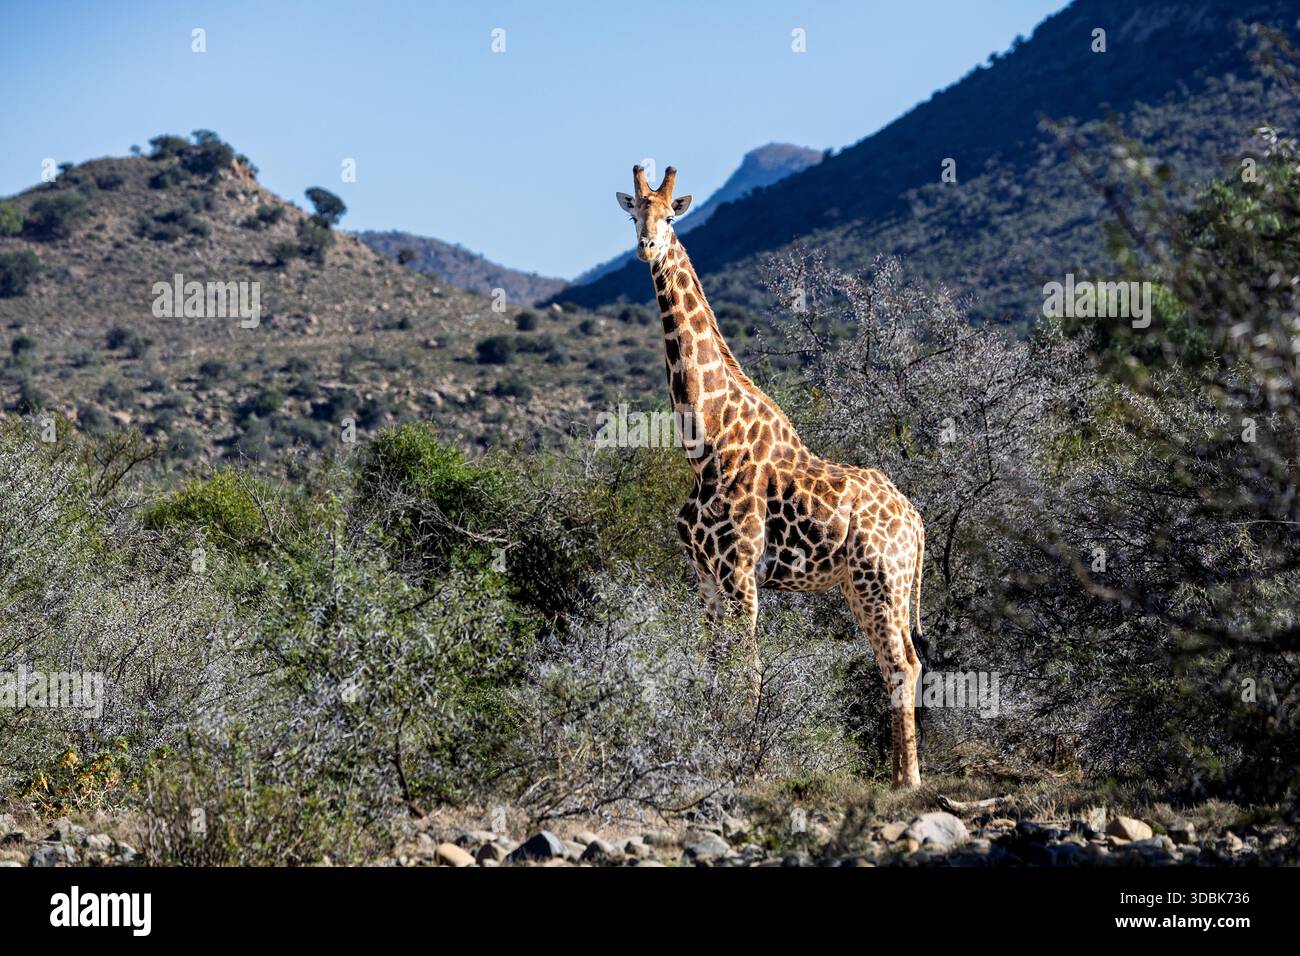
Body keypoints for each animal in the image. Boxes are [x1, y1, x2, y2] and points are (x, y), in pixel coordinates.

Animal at [616, 165, 927, 787]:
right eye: (634, 212)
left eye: (670, 216)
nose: (647, 247)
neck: (705, 441)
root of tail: (917, 521)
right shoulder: (704, 573)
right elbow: (713, 668)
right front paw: (713, 755)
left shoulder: (739, 569)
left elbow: (751, 670)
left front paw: (747, 765)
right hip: (865, 585)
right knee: (900, 659)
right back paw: (897, 773)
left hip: (880, 580)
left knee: (901, 663)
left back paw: (909, 779)